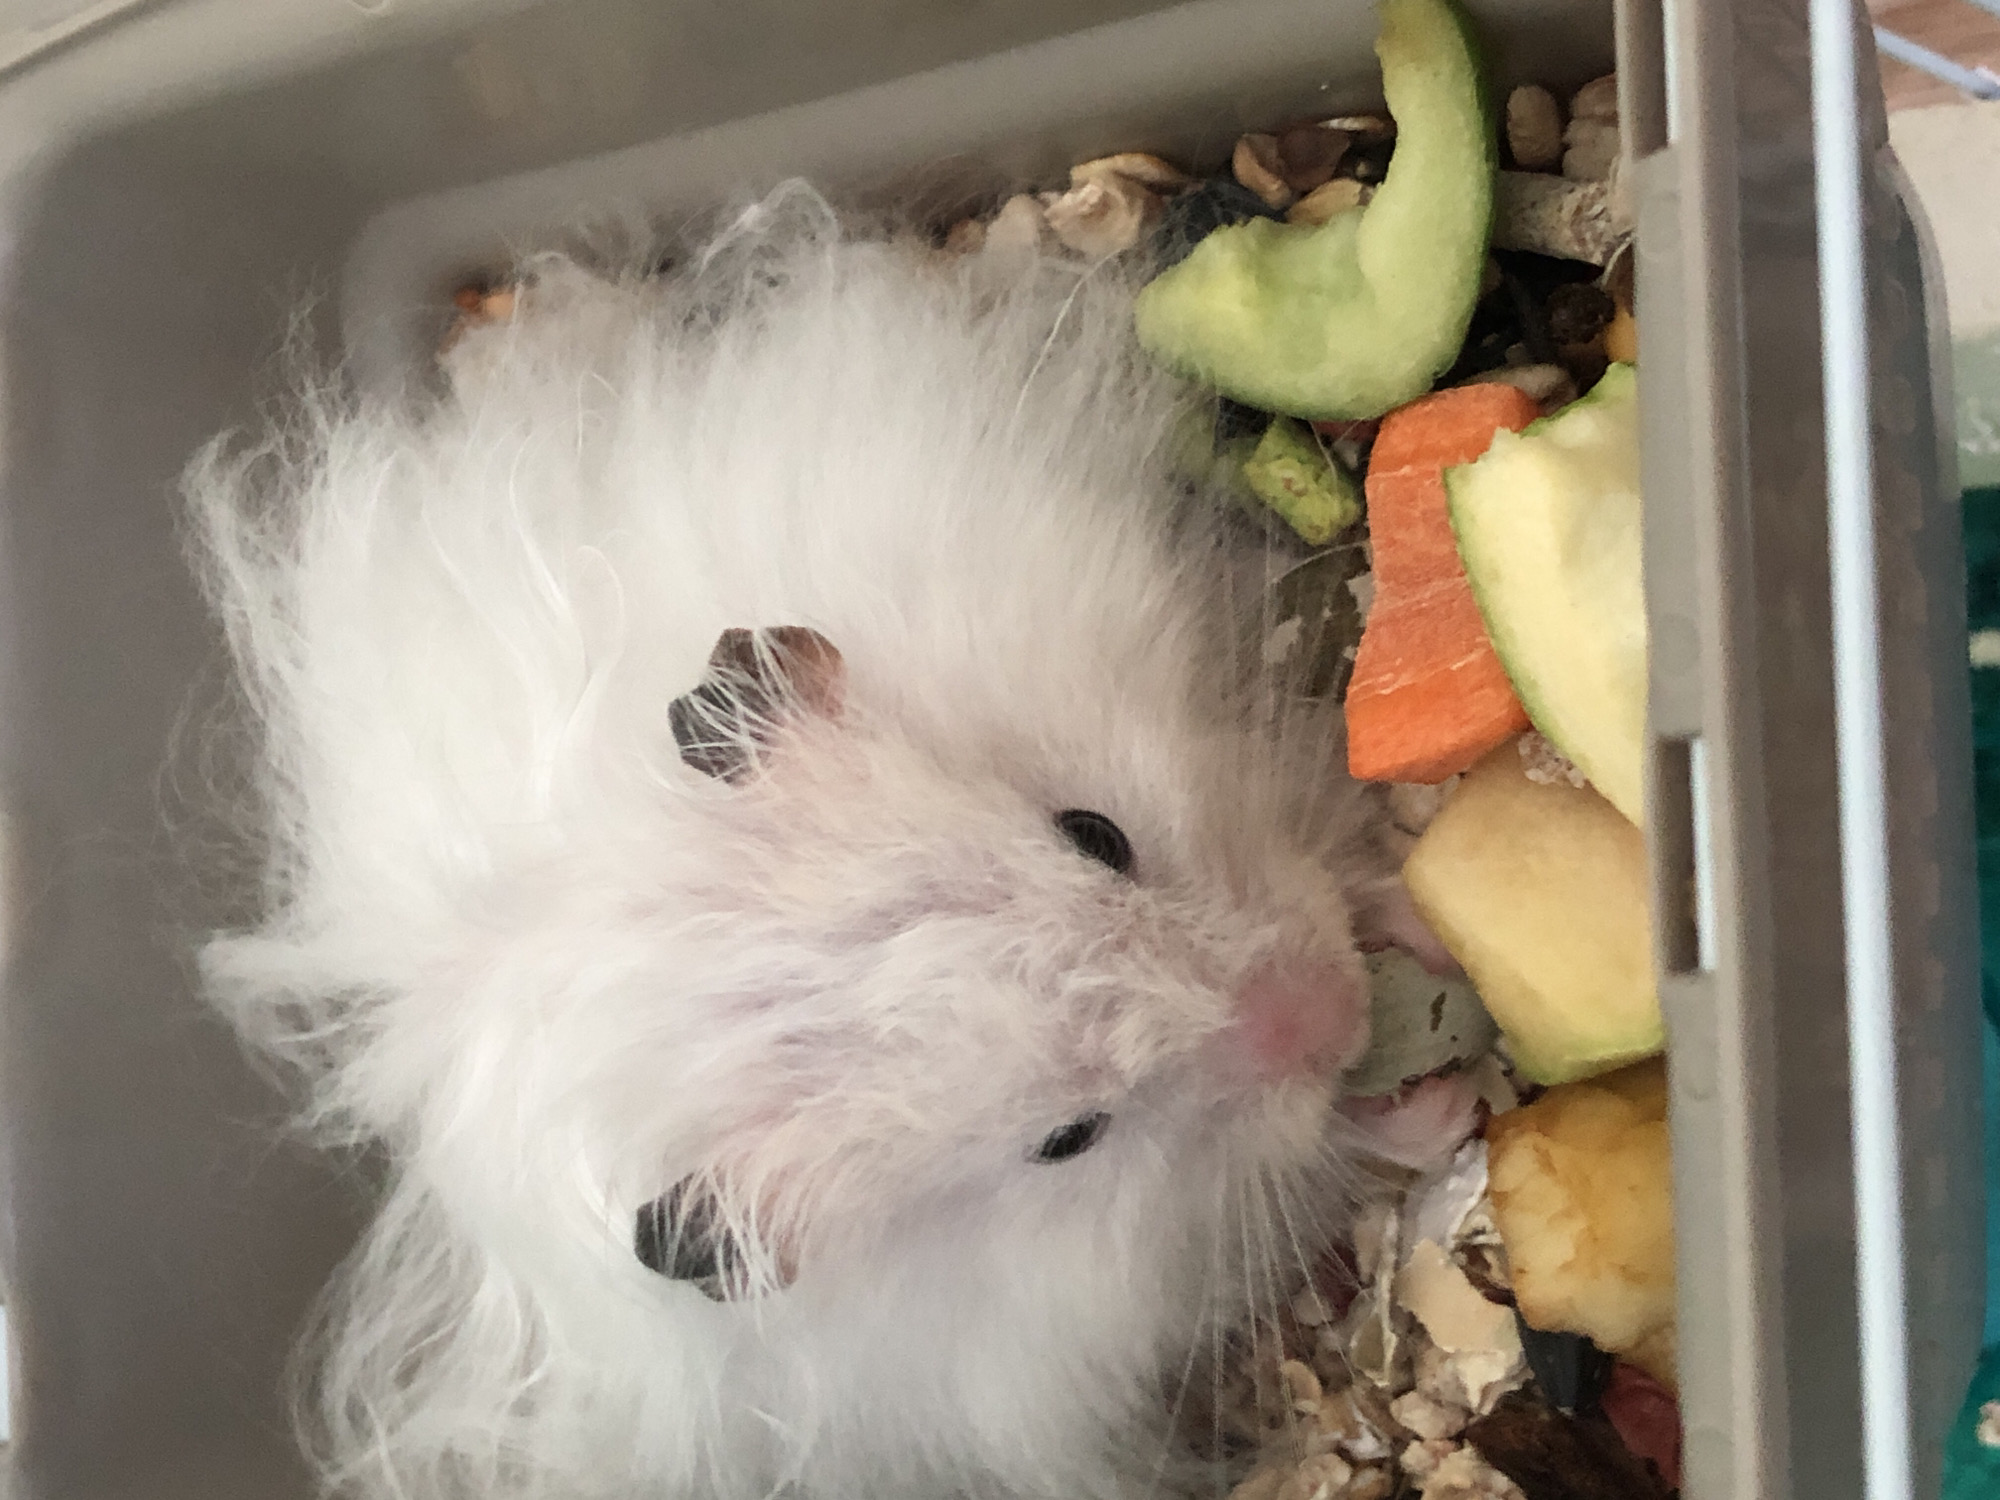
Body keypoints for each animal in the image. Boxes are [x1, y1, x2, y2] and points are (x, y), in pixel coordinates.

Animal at [184, 183, 1472, 1500]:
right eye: (1067, 1141)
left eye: (1095, 832)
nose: (1336, 1014)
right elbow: (1319, 1143)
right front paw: (1427, 1107)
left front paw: (1418, 925)